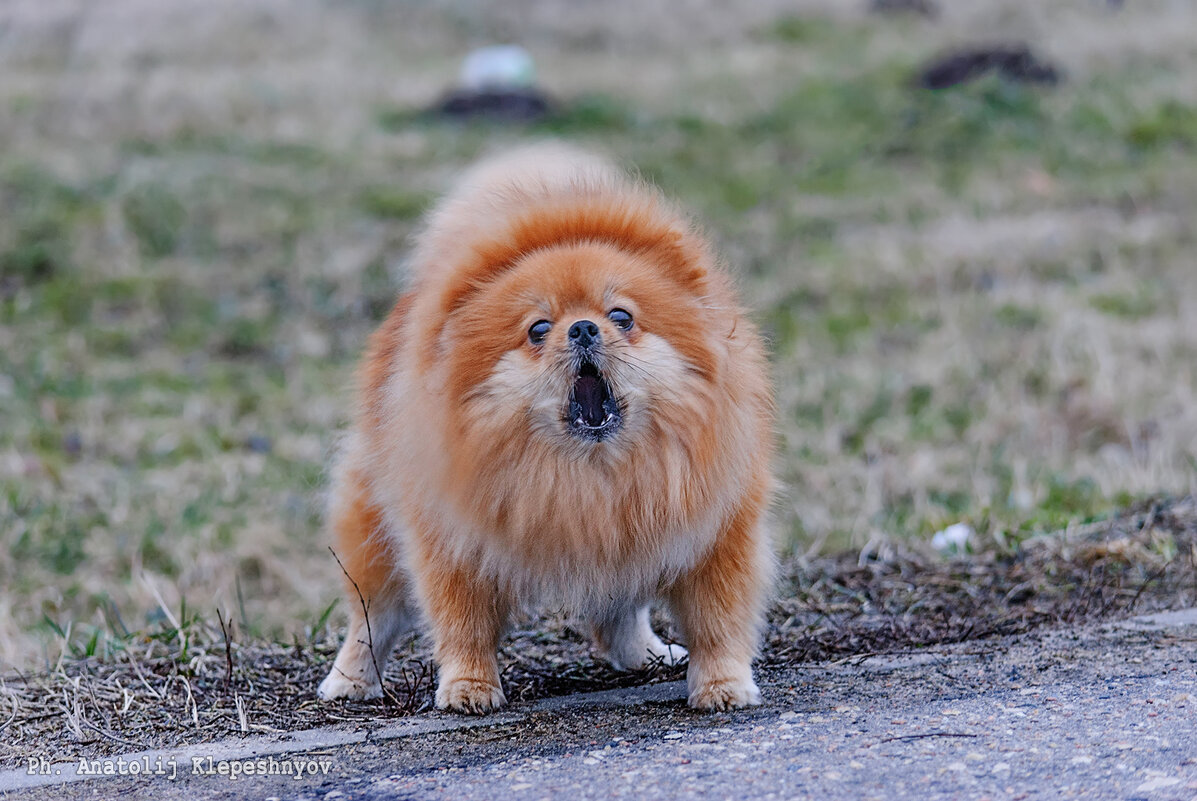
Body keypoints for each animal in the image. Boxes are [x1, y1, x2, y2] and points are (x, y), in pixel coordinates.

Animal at [313, 140, 770, 708]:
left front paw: (723, 685)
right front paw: (469, 687)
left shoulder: (712, 532)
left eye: (622, 317)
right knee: (371, 617)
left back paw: (647, 655)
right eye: (538, 329)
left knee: (619, 616)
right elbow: (462, 623)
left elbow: (718, 621)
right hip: (373, 525)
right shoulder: (454, 540)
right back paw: (349, 681)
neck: (590, 476)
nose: (583, 327)